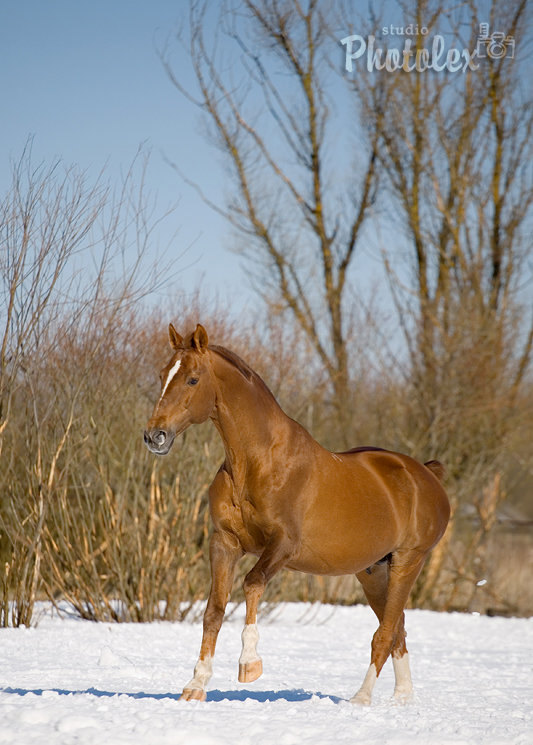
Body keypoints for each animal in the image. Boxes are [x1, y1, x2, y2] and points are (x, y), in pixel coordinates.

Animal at [144, 324, 448, 704]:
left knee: (386, 631)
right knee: (398, 629)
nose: (155, 436)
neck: (260, 462)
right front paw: (195, 685)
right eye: (162, 375)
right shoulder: (224, 543)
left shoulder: (283, 546)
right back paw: (402, 697)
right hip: (373, 571)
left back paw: (361, 698)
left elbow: (252, 583)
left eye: (192, 379)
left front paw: (249, 664)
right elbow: (214, 609)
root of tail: (426, 474)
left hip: (409, 561)